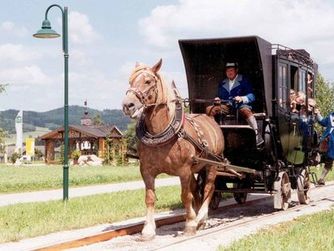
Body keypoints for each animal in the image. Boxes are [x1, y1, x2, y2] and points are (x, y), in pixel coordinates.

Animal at [121, 58, 223, 239]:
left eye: (148, 81)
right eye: (130, 81)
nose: (128, 105)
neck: (161, 133)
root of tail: (210, 117)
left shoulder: (183, 170)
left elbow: (185, 196)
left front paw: (190, 225)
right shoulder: (146, 171)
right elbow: (150, 197)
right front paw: (148, 230)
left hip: (212, 164)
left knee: (209, 188)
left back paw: (201, 218)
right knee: (197, 190)